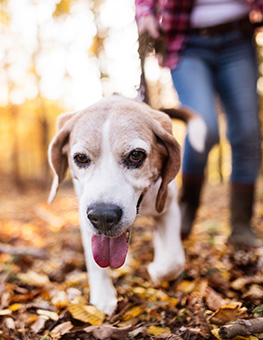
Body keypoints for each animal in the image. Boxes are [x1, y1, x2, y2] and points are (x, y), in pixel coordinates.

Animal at [48, 95, 207, 314]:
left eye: (136, 155)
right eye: (80, 158)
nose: (103, 216)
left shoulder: (168, 208)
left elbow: (173, 261)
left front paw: (156, 270)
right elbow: (95, 263)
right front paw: (104, 297)